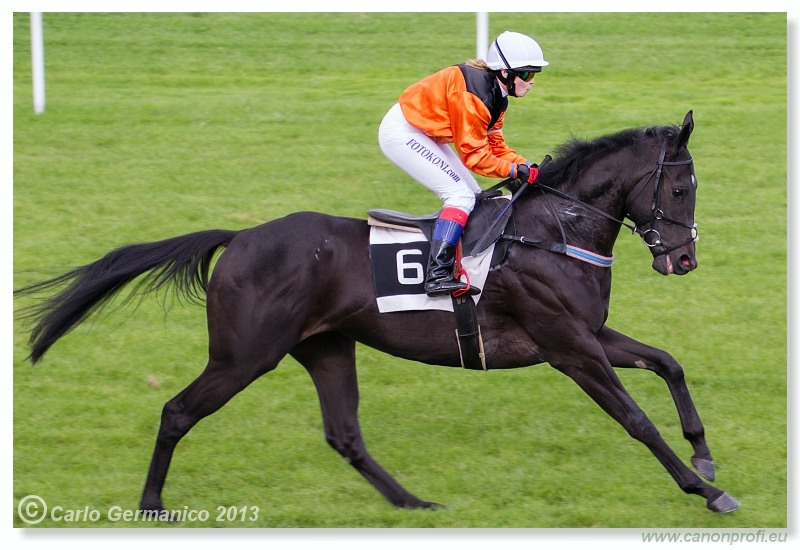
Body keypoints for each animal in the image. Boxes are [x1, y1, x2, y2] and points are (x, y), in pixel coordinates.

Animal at [14, 111, 736, 516]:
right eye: (680, 188)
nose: (683, 260)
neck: (552, 230)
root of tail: (239, 237)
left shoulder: (587, 333)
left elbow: (668, 363)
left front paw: (704, 458)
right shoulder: (569, 347)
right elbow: (636, 419)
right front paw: (706, 491)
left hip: (326, 346)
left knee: (345, 435)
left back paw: (414, 503)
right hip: (245, 353)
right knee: (177, 411)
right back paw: (152, 504)